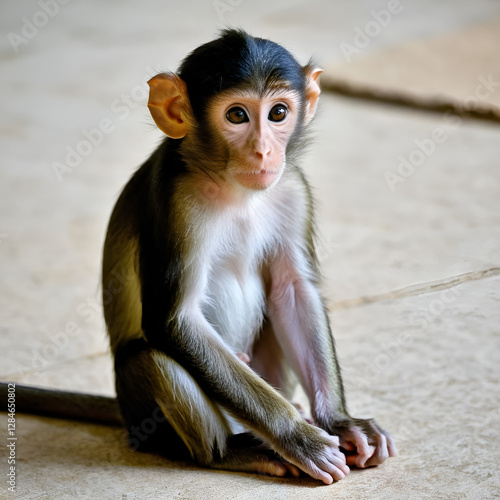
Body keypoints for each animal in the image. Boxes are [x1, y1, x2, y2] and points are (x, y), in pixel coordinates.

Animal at [1, 30, 396, 484]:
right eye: (237, 115)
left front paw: (341, 422)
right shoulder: (175, 200)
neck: (230, 186)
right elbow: (175, 322)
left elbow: (293, 291)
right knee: (152, 358)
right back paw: (230, 451)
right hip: (145, 415)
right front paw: (299, 439)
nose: (264, 152)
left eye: (278, 112)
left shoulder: (292, 187)